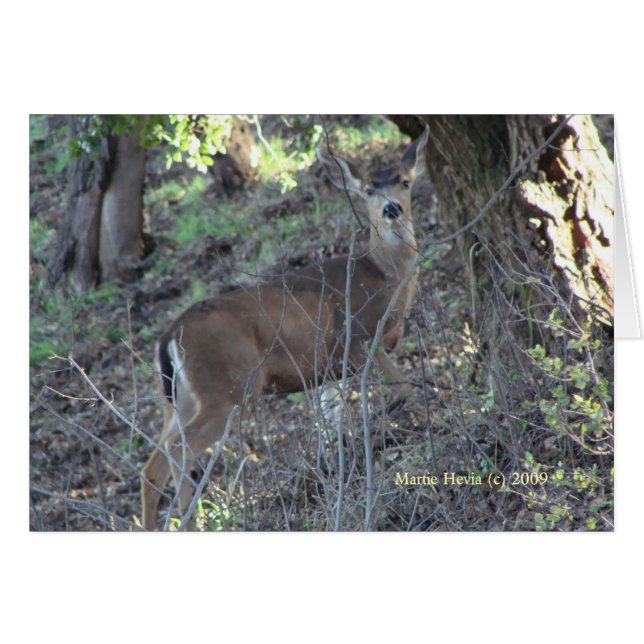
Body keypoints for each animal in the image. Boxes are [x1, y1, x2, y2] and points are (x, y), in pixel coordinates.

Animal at [141, 126, 430, 530]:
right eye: (369, 189)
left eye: (404, 181)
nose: (392, 209)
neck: (383, 278)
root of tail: (168, 337)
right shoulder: (355, 337)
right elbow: (404, 386)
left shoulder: (329, 369)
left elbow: (330, 425)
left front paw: (333, 472)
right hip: (226, 386)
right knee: (179, 447)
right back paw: (190, 517)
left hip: (178, 397)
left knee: (153, 464)